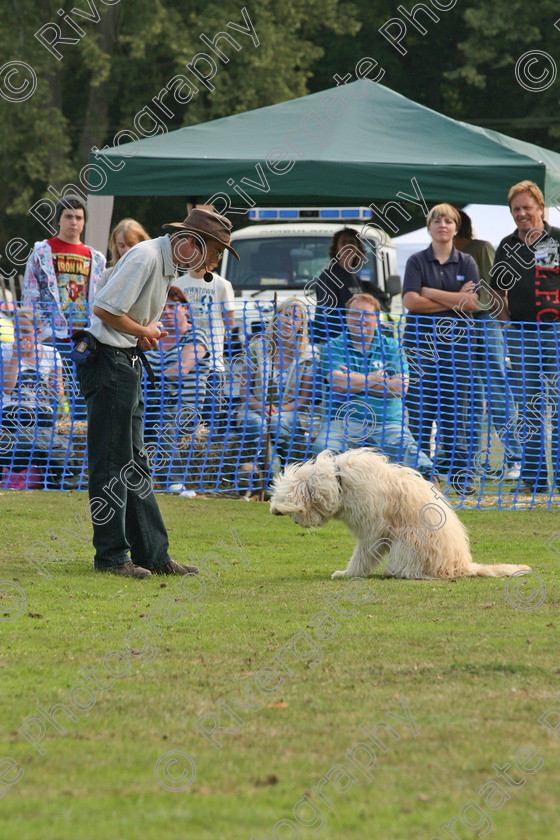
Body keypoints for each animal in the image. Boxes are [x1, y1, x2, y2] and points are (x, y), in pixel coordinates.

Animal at [270, 450, 532, 580]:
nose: (279, 513)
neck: (339, 481)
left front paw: (348, 573)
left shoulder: (374, 532)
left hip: (408, 537)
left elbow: (362, 555)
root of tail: (461, 565)